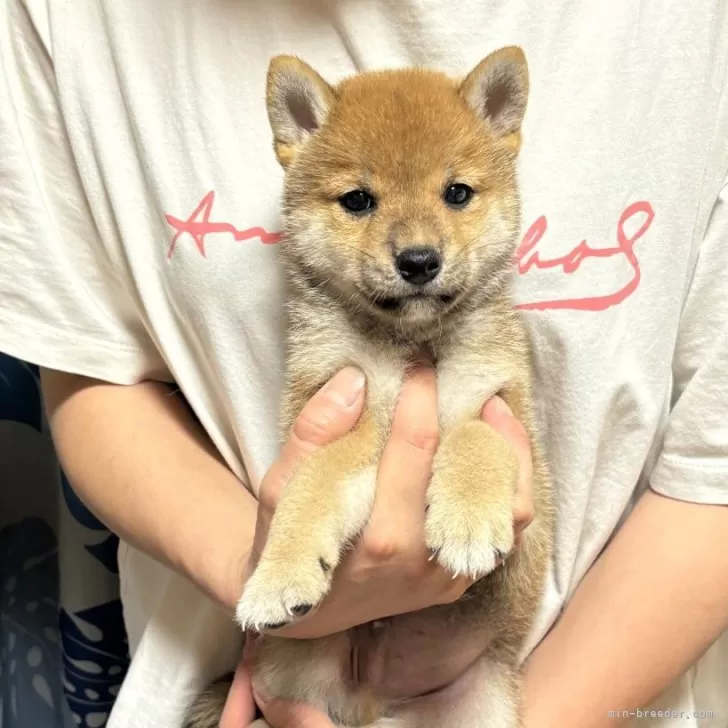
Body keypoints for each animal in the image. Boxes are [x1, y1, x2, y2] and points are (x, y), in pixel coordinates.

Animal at [186, 47, 552, 728]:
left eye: (456, 193)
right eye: (358, 200)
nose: (419, 260)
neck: (411, 345)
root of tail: (373, 706)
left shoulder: (506, 414)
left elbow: (474, 438)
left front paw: (466, 519)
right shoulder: (344, 406)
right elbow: (314, 485)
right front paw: (279, 574)